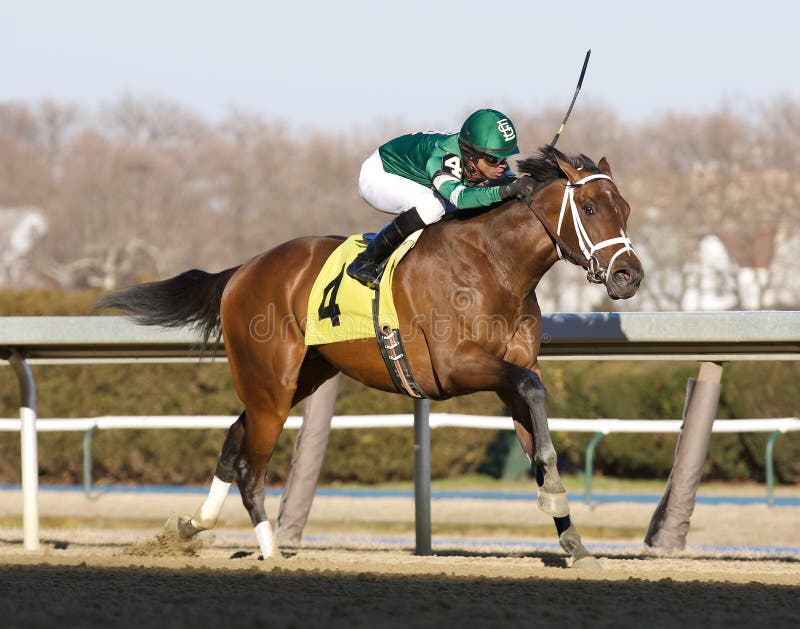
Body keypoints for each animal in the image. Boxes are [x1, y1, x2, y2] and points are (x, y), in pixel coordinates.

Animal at [98, 145, 644, 568]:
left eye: (625, 207)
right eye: (589, 208)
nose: (629, 276)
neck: (494, 264)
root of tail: (242, 270)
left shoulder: (511, 372)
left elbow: (535, 422)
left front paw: (573, 540)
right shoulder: (456, 366)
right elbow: (534, 392)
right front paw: (556, 502)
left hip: (302, 375)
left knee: (235, 435)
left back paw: (192, 524)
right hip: (271, 382)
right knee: (252, 464)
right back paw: (270, 552)